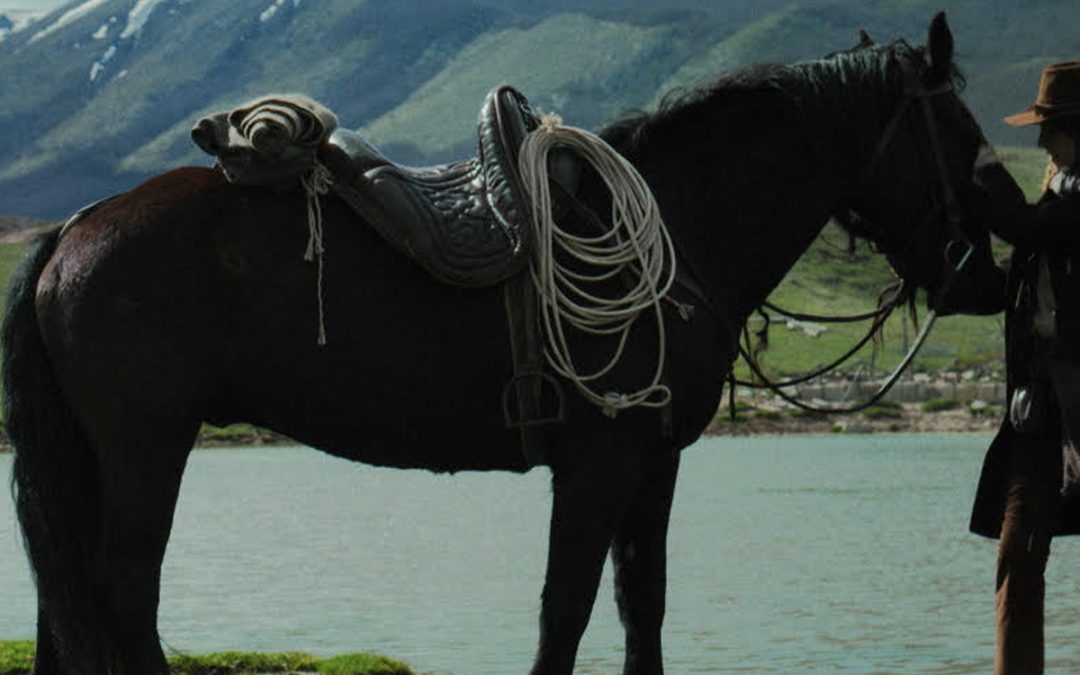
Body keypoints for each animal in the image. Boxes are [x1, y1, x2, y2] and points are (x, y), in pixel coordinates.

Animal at [3, 13, 1003, 675]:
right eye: (960, 133)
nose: (984, 278)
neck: (682, 219)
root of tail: (74, 226)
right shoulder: (599, 462)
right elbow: (565, 613)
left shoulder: (656, 461)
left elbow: (643, 606)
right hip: (148, 448)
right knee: (123, 593)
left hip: (92, 455)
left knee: (65, 602)